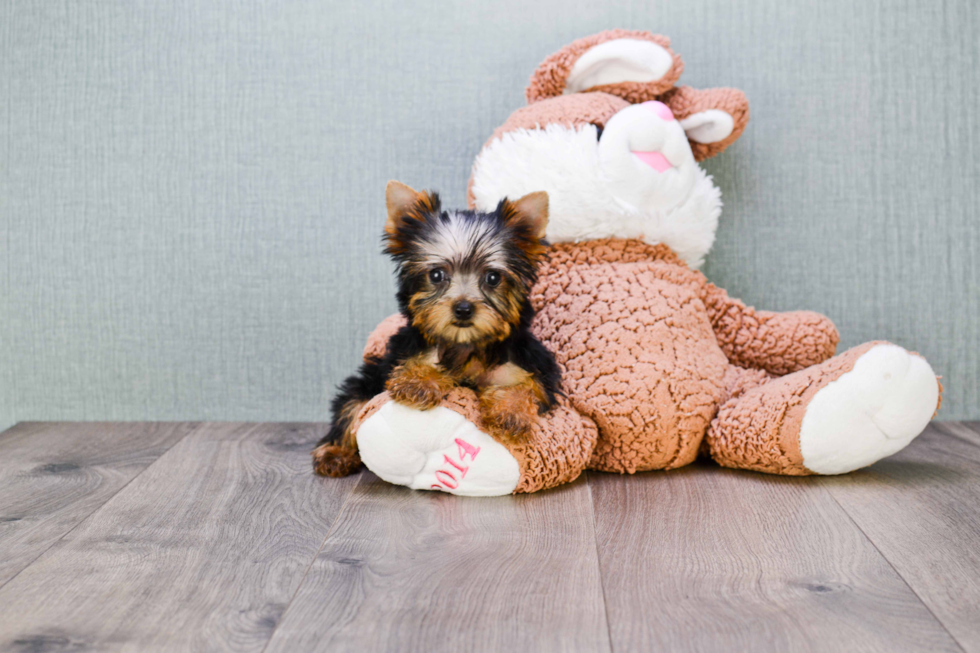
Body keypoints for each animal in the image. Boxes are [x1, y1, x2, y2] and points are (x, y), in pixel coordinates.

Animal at [314, 181, 560, 476]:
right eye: (436, 275)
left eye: (492, 277)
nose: (463, 308)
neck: (464, 344)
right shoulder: (400, 354)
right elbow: (417, 364)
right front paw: (418, 383)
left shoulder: (527, 366)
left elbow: (525, 387)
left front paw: (510, 412)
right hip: (367, 379)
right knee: (352, 403)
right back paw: (335, 452)